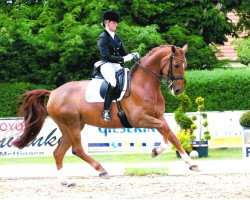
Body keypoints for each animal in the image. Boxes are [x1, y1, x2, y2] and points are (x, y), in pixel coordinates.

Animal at [13, 44, 197, 186]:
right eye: (177, 65)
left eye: (185, 65)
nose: (178, 90)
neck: (145, 85)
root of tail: (53, 93)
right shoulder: (140, 120)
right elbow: (165, 131)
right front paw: (156, 150)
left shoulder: (158, 117)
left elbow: (172, 135)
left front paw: (191, 163)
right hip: (72, 124)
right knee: (77, 149)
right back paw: (102, 170)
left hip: (70, 126)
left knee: (59, 152)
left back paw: (66, 181)